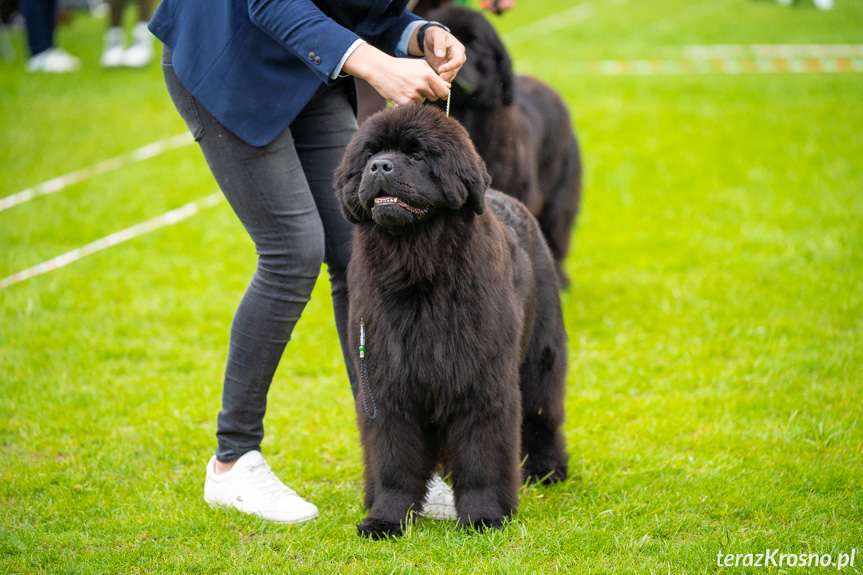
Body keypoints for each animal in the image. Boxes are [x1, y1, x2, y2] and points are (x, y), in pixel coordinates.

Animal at [334, 107, 572, 540]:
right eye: (370, 154)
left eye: (416, 156)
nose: (379, 166)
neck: (417, 275)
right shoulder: (387, 384)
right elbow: (393, 462)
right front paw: (386, 518)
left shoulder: (479, 381)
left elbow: (481, 457)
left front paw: (483, 516)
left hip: (540, 353)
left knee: (542, 413)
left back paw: (547, 470)